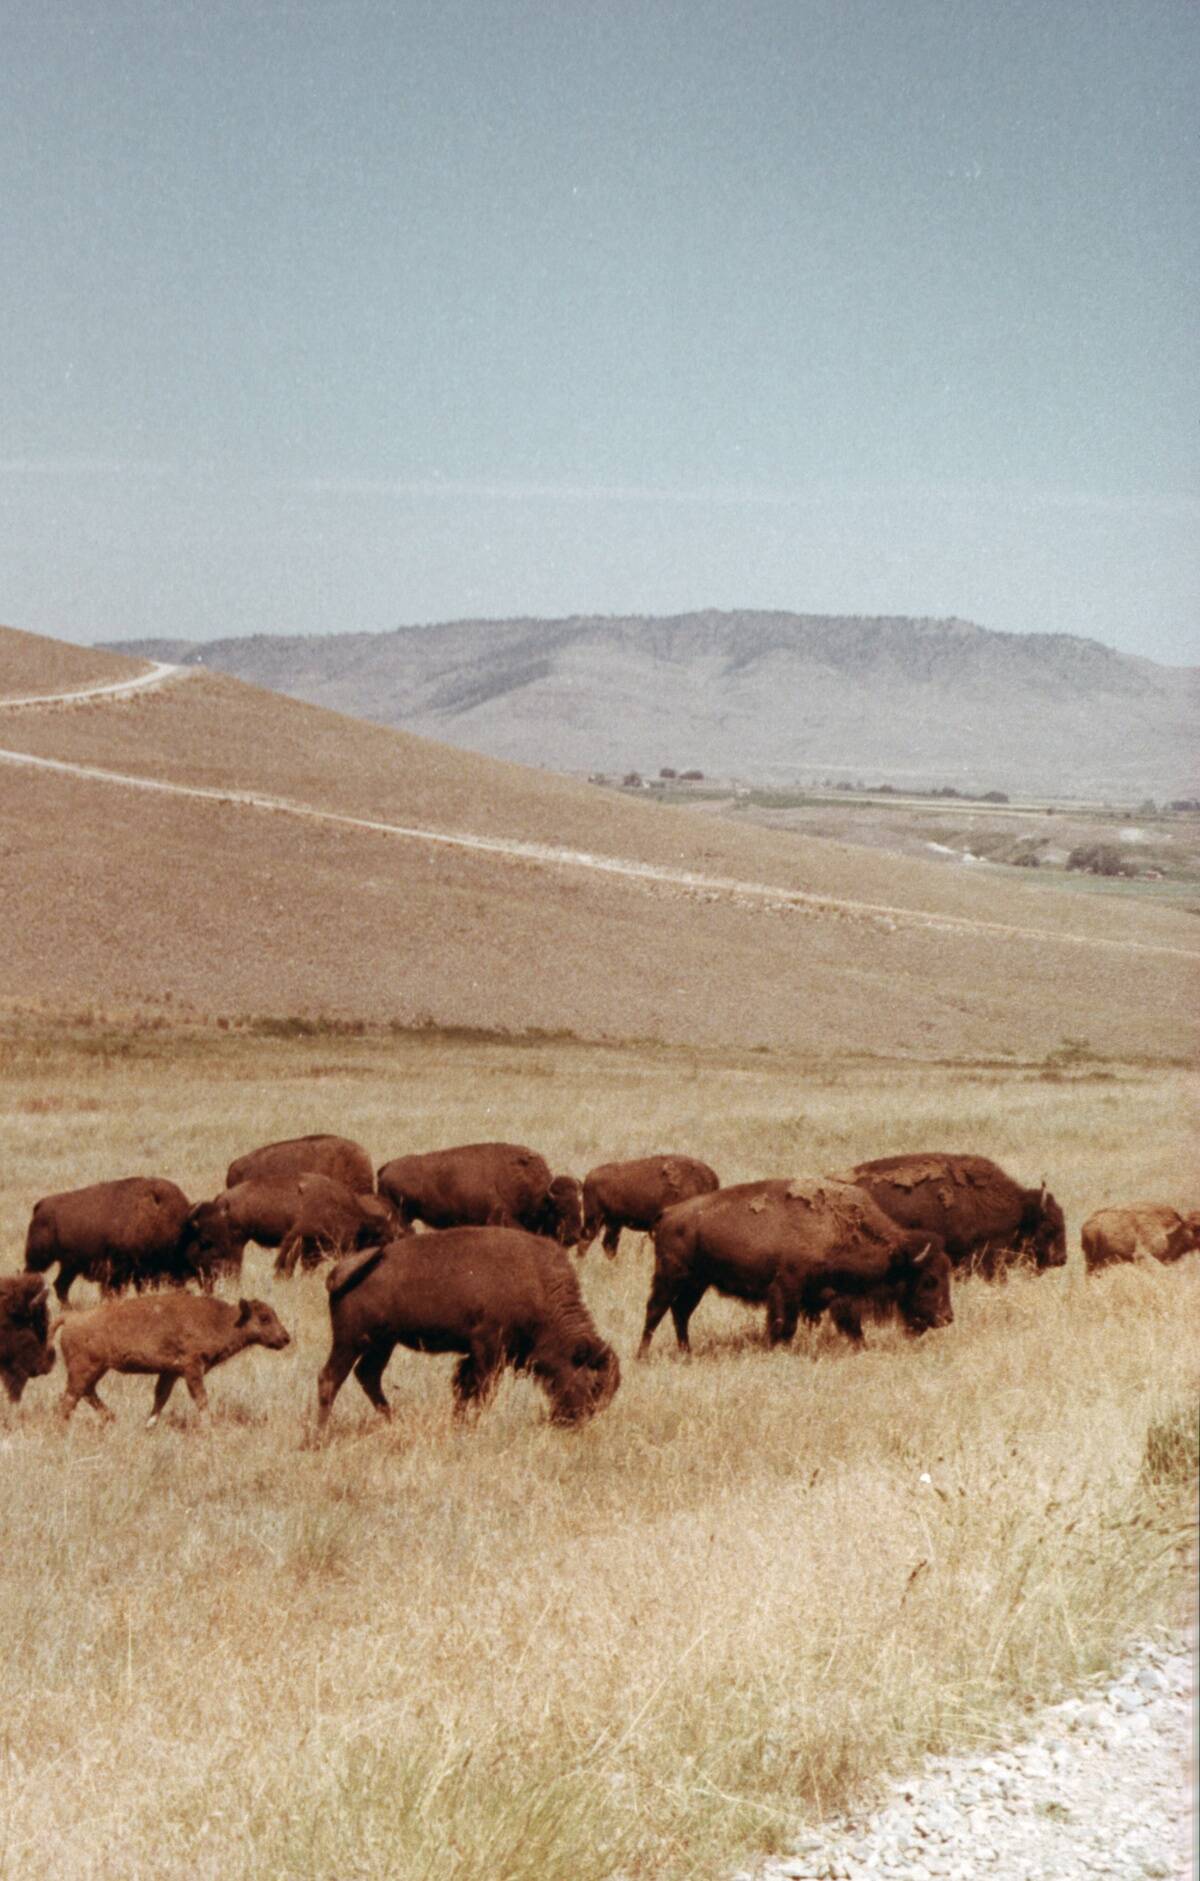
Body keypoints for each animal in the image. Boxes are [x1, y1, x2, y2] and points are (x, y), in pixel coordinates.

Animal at [24, 1177, 212, 1303]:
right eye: (202, 1241)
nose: (209, 1277)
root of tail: (41, 1205)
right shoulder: (121, 1271)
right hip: (40, 1260)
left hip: (70, 1266)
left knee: (61, 1286)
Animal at [58, 1292, 291, 1425]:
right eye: (264, 1318)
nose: (285, 1338)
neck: (222, 1319)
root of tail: (72, 1318)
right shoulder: (192, 1368)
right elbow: (201, 1398)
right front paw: (209, 1425)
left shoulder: (170, 1372)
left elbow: (161, 1397)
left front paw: (149, 1425)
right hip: (86, 1368)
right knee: (70, 1398)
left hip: (97, 1369)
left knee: (86, 1393)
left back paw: (111, 1417)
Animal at [318, 1228, 620, 1430]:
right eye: (594, 1385)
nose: (576, 1421)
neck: (539, 1283)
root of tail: (340, 1271)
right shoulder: (488, 1349)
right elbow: (481, 1389)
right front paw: (472, 1423)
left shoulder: (479, 1355)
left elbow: (464, 1388)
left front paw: (459, 1422)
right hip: (351, 1341)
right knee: (330, 1379)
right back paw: (320, 1436)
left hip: (382, 1343)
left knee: (368, 1375)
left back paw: (393, 1420)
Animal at [639, 1178, 953, 1357]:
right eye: (929, 1280)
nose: (947, 1318)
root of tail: (668, 1213)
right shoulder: (786, 1288)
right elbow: (784, 1325)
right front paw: (775, 1350)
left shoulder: (838, 1297)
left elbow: (851, 1325)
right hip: (671, 1277)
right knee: (656, 1311)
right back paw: (642, 1356)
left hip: (697, 1283)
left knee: (681, 1313)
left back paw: (686, 1353)